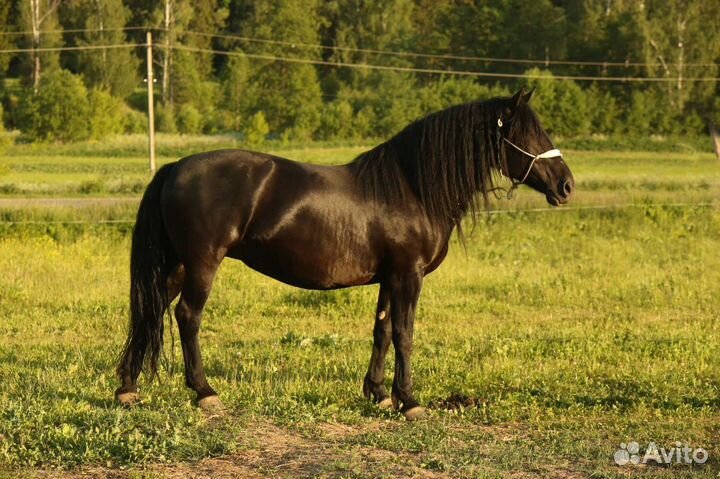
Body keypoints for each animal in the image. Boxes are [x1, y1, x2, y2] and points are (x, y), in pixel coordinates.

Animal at [115, 88, 574, 420]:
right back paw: (205, 393)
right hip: (202, 264)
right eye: (528, 135)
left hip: (177, 264)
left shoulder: (390, 277)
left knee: (152, 312)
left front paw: (379, 394)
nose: (566, 185)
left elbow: (382, 331)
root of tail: (175, 167)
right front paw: (409, 402)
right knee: (187, 317)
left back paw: (127, 390)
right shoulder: (408, 275)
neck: (411, 188)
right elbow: (405, 334)